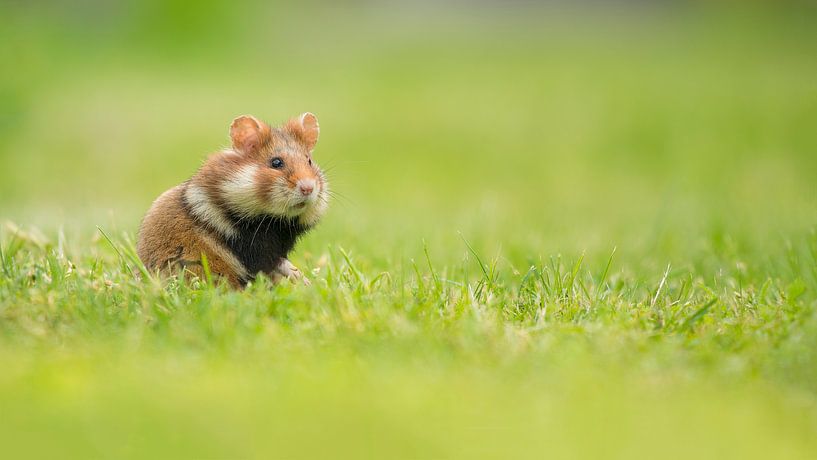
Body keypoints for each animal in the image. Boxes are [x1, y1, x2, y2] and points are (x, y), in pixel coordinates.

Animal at [137, 113, 328, 288]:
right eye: (276, 163)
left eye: (309, 161)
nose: (308, 188)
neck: (272, 219)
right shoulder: (250, 247)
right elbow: (278, 263)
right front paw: (304, 281)